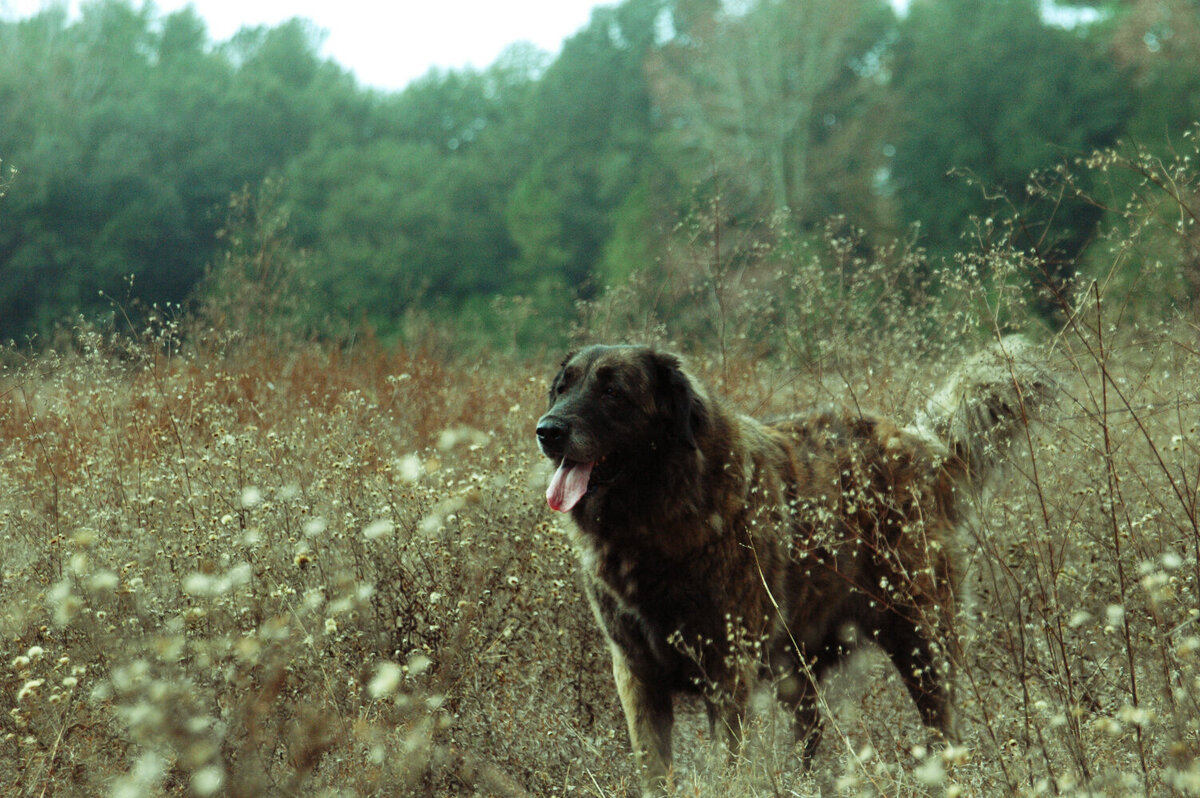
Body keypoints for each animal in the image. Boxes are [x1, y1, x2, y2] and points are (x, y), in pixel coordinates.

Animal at [535, 338, 1051, 792]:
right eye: (563, 387)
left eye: (612, 392)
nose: (547, 430)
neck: (658, 515)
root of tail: (923, 447)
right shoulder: (637, 673)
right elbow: (654, 771)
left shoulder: (727, 672)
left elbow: (728, 764)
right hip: (799, 671)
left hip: (921, 641)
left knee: (943, 727)